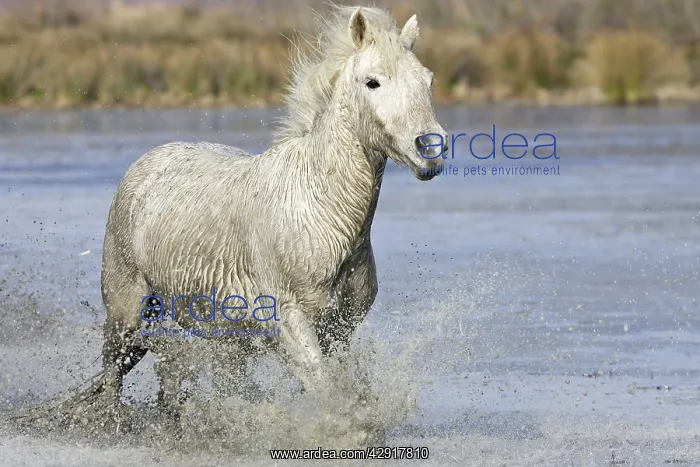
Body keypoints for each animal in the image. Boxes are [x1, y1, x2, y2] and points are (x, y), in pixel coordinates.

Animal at [99, 5, 447, 412]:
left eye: (428, 80)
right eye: (372, 82)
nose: (430, 148)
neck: (321, 213)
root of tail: (146, 163)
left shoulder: (339, 331)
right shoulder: (293, 323)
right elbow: (326, 392)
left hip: (224, 340)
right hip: (126, 314)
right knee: (112, 376)